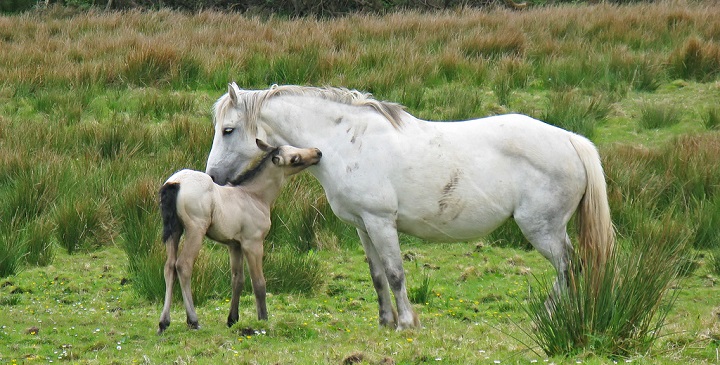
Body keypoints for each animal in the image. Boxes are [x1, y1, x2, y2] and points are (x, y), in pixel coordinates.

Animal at [161, 139, 326, 332]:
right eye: (295, 159)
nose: (317, 152)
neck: (254, 196)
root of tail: (175, 183)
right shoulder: (252, 243)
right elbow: (259, 283)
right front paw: (263, 319)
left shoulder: (234, 245)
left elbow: (237, 280)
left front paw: (232, 318)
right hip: (196, 229)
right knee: (183, 265)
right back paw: (192, 320)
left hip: (174, 230)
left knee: (169, 267)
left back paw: (163, 322)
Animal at [204, 83, 612, 330]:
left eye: (228, 130)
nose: (213, 177)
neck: (346, 141)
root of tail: (570, 140)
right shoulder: (362, 226)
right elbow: (377, 275)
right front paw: (385, 320)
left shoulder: (381, 222)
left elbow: (396, 273)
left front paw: (405, 322)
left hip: (543, 229)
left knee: (568, 267)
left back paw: (547, 317)